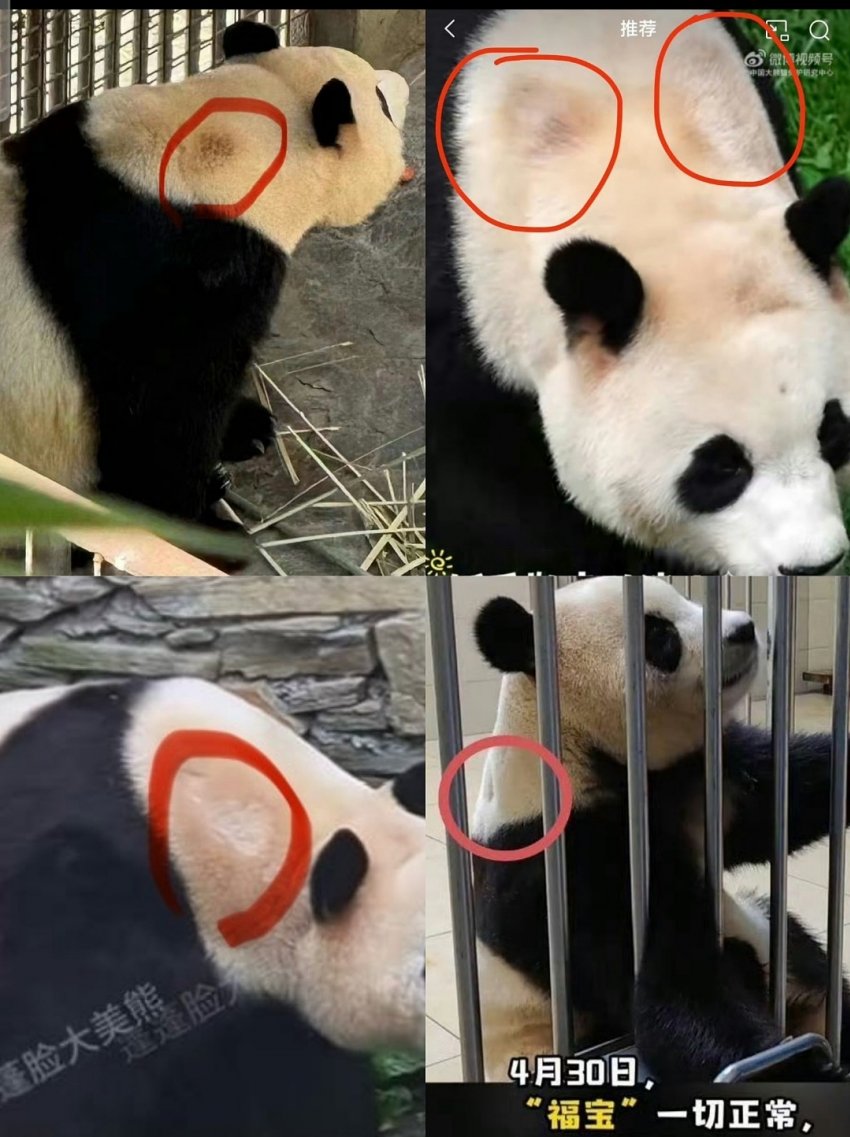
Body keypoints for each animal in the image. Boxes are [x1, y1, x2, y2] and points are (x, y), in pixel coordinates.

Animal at [0, 19, 410, 534]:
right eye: (380, 103)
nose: (402, 83)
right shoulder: (188, 278)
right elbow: (165, 415)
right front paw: (206, 526)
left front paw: (245, 426)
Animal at [470, 576, 850, 1083]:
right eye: (660, 635)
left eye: (687, 599)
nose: (744, 629)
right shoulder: (564, 866)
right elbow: (672, 985)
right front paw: (798, 1069)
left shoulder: (699, 782)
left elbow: (786, 797)